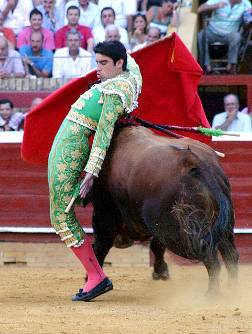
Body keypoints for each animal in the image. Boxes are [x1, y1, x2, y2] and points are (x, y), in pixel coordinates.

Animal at [89, 124, 238, 292]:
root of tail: (197, 163)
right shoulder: (156, 225)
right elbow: (157, 245)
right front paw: (161, 272)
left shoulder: (104, 216)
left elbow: (99, 247)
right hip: (223, 224)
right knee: (231, 255)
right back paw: (233, 289)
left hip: (186, 230)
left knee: (210, 256)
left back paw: (212, 294)